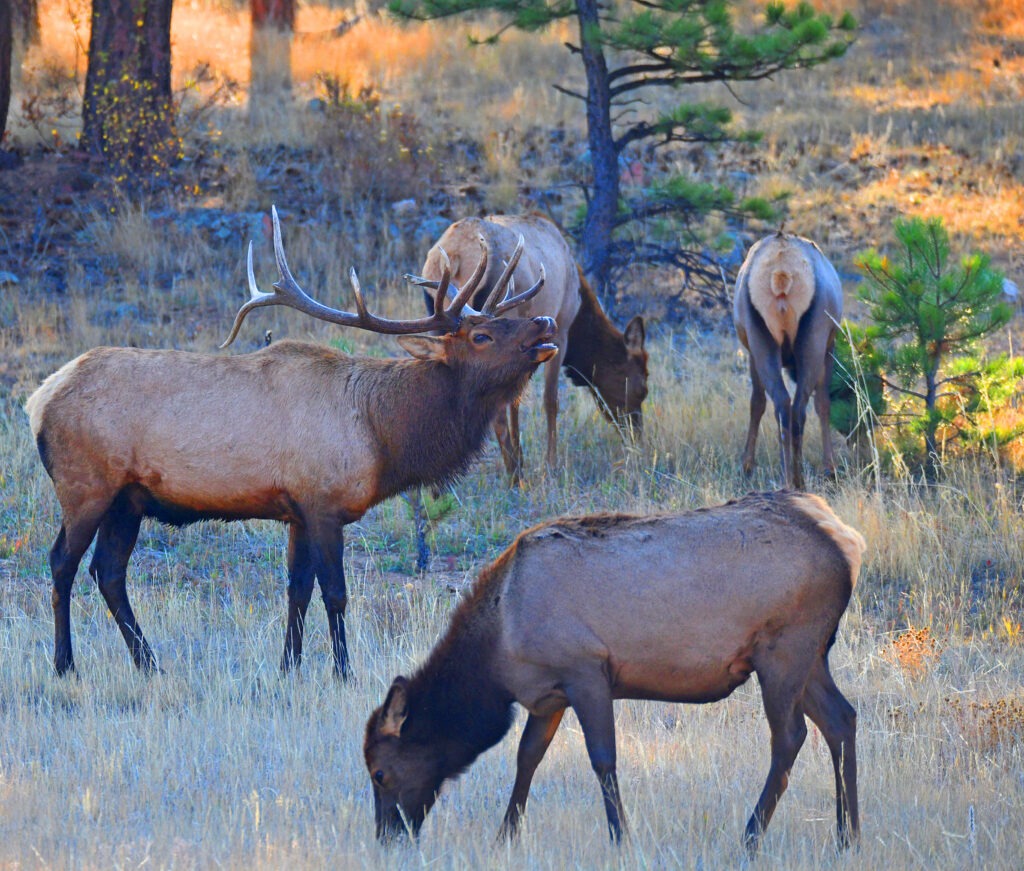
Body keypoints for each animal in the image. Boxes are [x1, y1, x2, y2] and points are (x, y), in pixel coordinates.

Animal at [24, 207, 552, 679]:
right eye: (481, 335)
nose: (544, 323)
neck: (382, 433)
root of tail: (38, 400)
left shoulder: (296, 509)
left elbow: (296, 590)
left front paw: (289, 667)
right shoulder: (323, 501)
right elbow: (335, 592)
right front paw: (343, 671)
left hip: (128, 498)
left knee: (109, 571)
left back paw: (149, 663)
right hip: (85, 485)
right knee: (63, 563)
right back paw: (65, 664)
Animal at [364, 493, 860, 855]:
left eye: (380, 773)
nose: (387, 838)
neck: (498, 651)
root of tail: (849, 541)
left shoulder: (585, 670)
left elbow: (603, 759)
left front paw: (621, 838)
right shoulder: (549, 694)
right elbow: (527, 757)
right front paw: (504, 837)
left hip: (783, 649)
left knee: (790, 736)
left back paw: (751, 838)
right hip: (810, 655)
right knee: (841, 719)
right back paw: (847, 836)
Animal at [417, 213, 647, 481]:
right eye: (642, 387)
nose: (636, 437)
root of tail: (455, 257)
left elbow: (515, 403)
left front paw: (522, 456)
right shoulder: (562, 328)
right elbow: (550, 400)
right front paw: (550, 464)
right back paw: (514, 476)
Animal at [733, 230, 843, 491]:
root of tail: (781, 273)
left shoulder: (752, 351)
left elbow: (757, 403)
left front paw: (747, 465)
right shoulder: (829, 346)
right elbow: (823, 403)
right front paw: (830, 468)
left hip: (764, 339)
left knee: (785, 404)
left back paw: (792, 479)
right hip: (813, 339)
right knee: (796, 407)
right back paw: (798, 479)